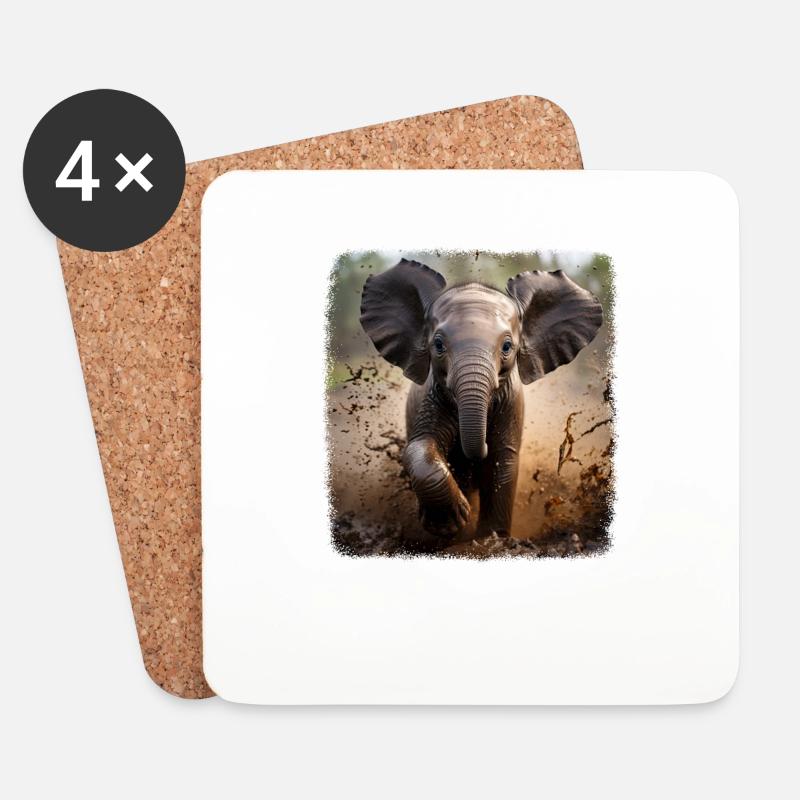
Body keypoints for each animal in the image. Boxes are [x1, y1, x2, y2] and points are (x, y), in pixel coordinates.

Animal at [360, 259, 603, 540]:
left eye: (507, 347)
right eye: (438, 345)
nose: (480, 444)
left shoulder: (511, 402)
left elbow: (502, 460)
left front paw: (491, 538)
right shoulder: (432, 396)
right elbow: (420, 446)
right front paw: (450, 524)